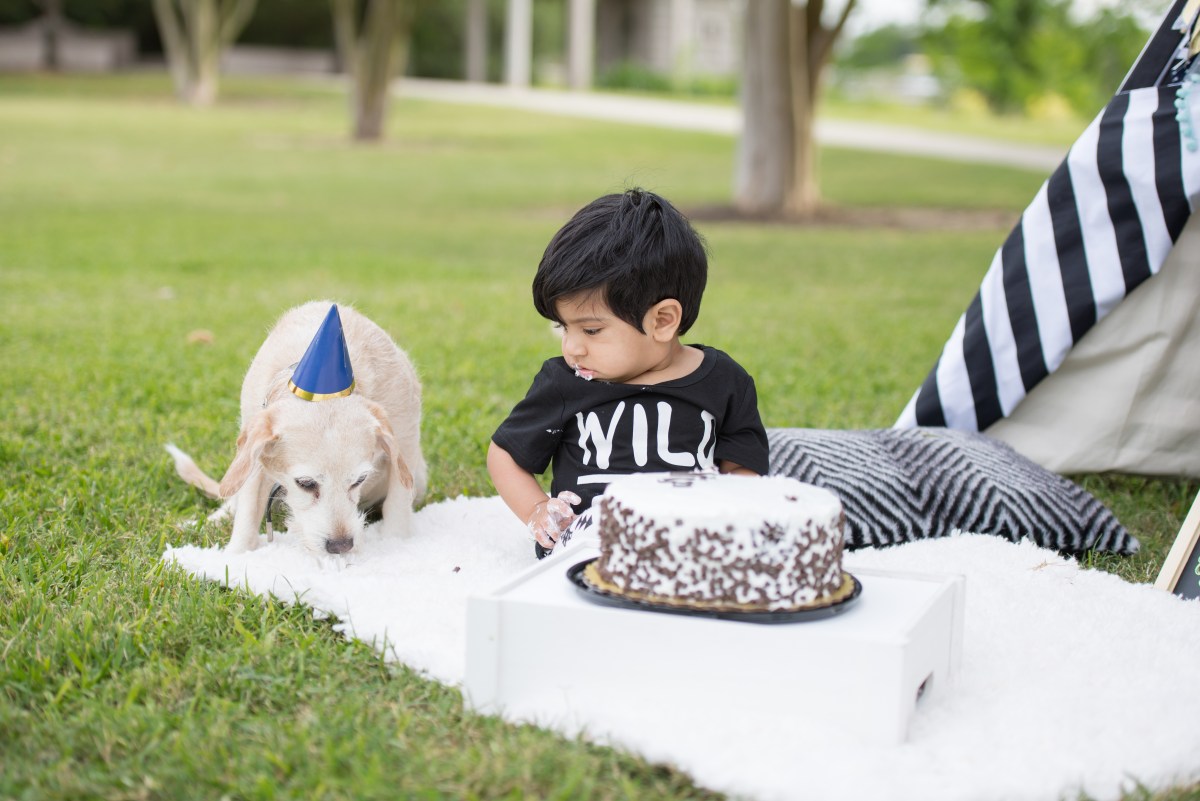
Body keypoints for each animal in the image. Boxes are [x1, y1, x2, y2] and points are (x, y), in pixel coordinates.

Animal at [167, 301, 427, 555]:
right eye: (305, 483)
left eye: (360, 480)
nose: (340, 546)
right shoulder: (254, 452)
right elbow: (247, 511)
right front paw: (237, 554)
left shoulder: (405, 440)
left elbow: (398, 504)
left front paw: (395, 542)